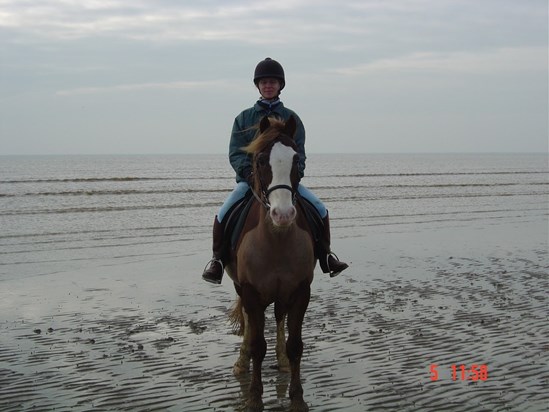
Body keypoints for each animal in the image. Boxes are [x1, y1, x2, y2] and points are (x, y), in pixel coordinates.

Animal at [225, 114, 314, 410]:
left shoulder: (301, 291)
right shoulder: (251, 292)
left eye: (297, 159)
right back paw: (241, 362)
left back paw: (282, 360)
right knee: (249, 325)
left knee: (279, 318)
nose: (283, 214)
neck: (276, 239)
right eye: (262, 160)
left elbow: (296, 345)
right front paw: (254, 397)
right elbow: (257, 346)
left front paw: (297, 398)